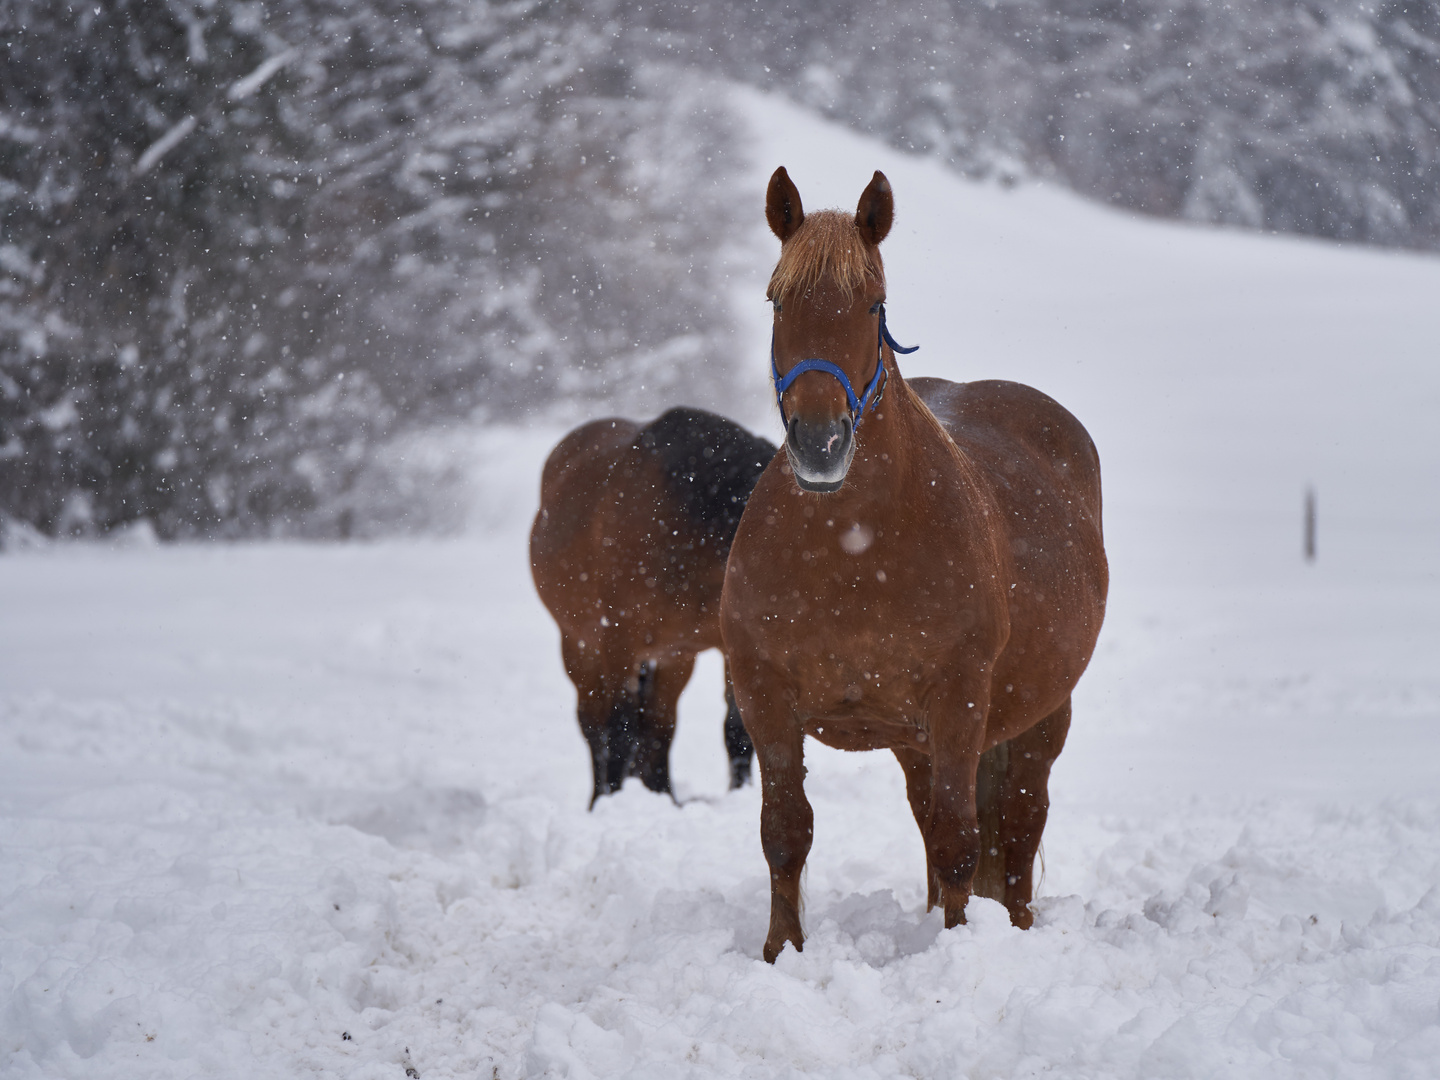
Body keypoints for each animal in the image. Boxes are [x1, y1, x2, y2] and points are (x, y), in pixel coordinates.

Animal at [529, 408, 777, 806]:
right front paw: (611, 804)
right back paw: (601, 798)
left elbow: (736, 730)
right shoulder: (619, 641)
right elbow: (619, 728)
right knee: (594, 724)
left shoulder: (724, 647)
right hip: (578, 645)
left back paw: (662, 795)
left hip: (673, 656)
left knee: (658, 729)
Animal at [720, 167, 1111, 961]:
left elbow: (964, 843)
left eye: (873, 302)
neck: (852, 558)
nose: (820, 442)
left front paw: (955, 953)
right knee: (936, 828)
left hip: (1040, 719)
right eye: (778, 299)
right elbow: (786, 832)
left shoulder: (960, 699)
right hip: (916, 745)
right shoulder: (763, 693)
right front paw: (781, 954)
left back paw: (1013, 929)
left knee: (1017, 829)